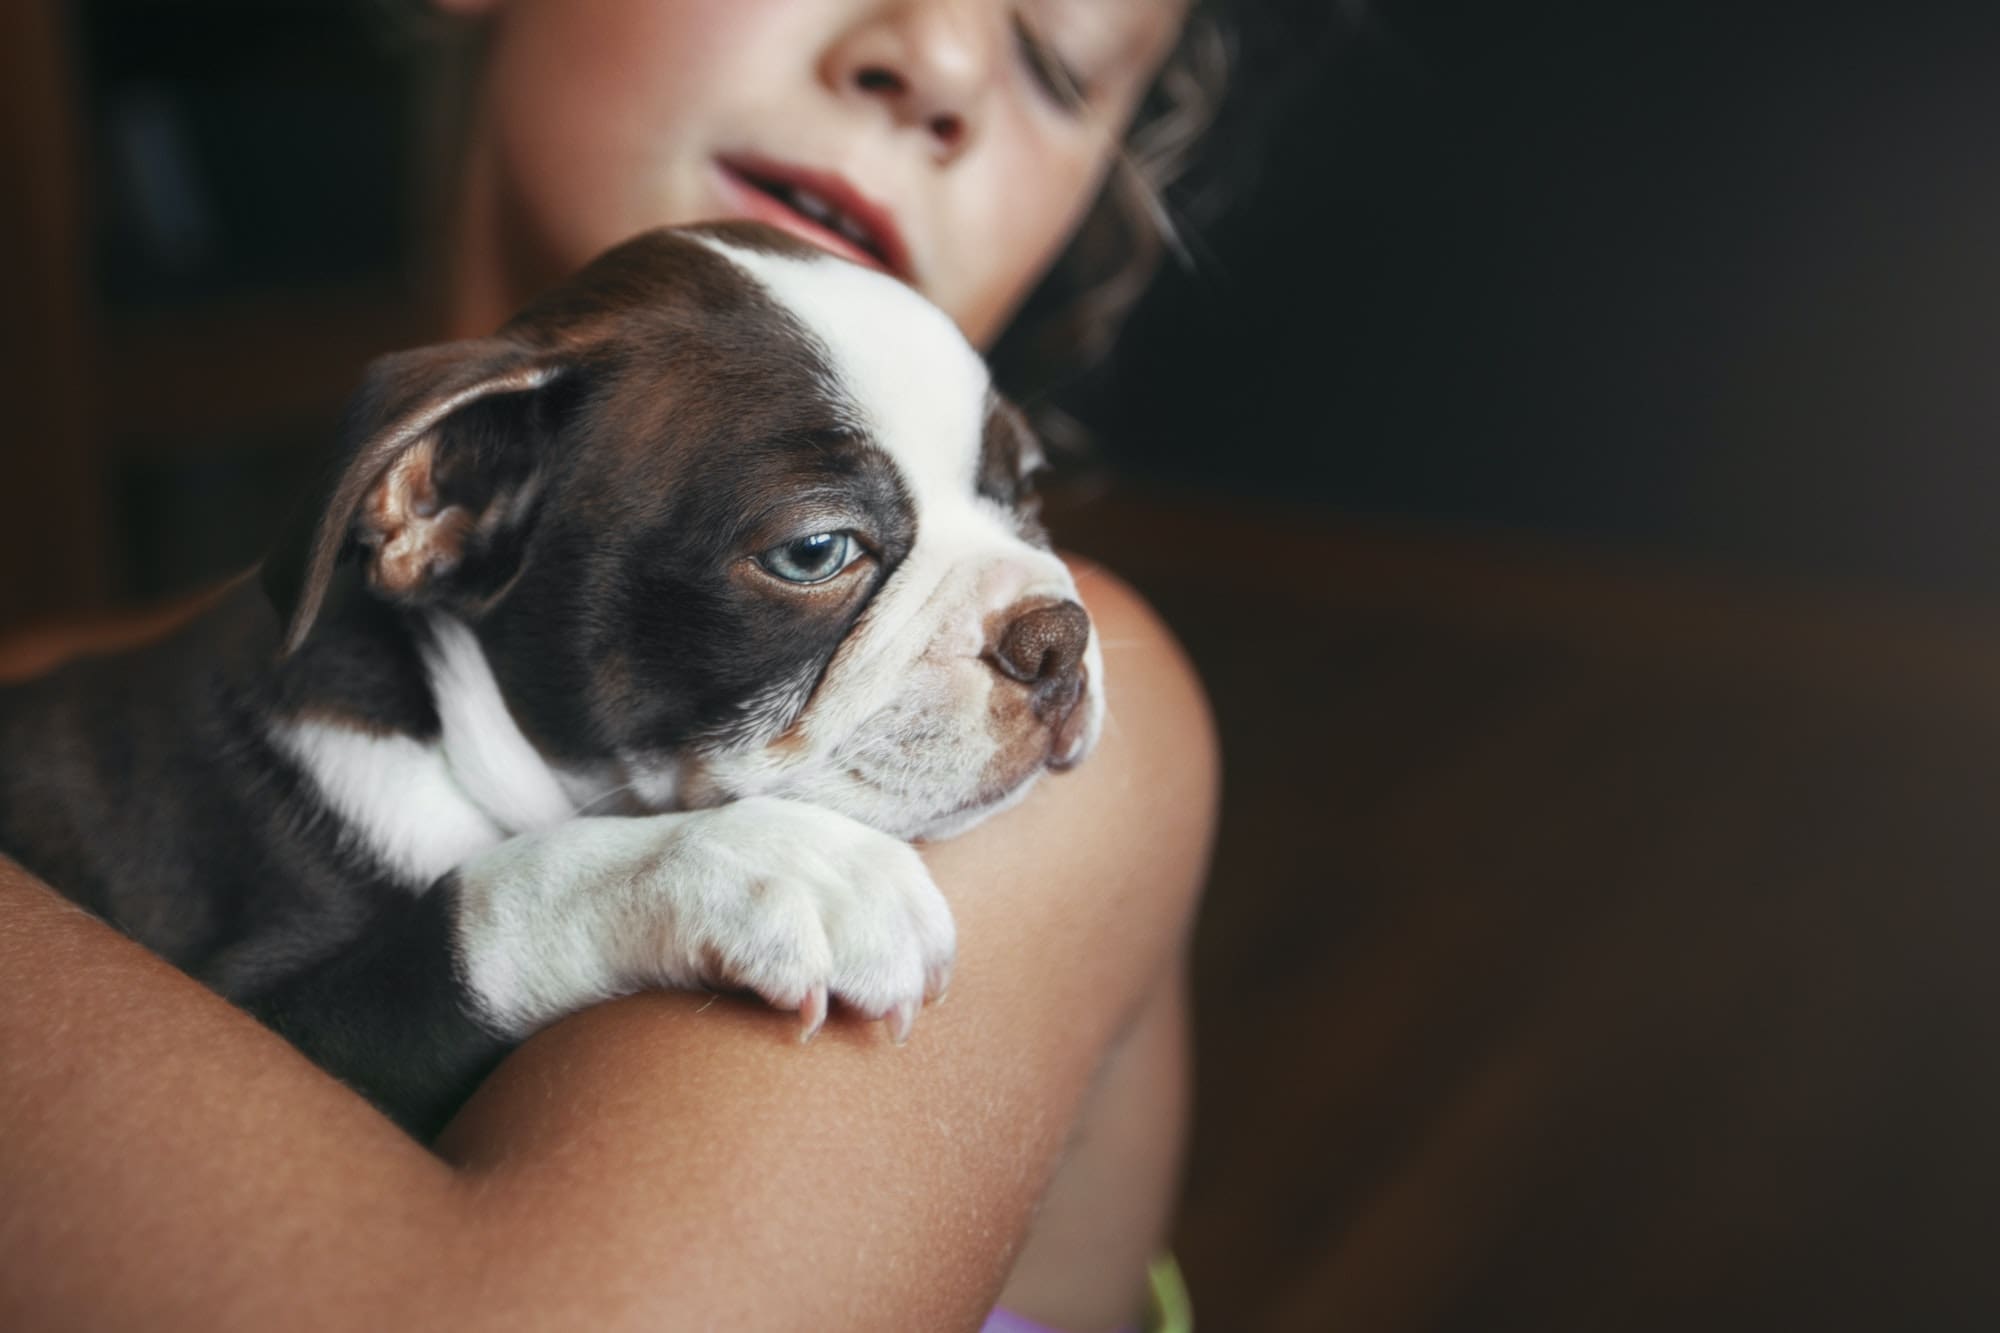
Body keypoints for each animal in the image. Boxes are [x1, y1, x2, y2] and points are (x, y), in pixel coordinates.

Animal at [0, 226, 1104, 1128]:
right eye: (814, 552)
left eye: (1026, 490)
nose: (1057, 635)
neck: (448, 735)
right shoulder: (254, 1013)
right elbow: (481, 907)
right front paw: (771, 863)